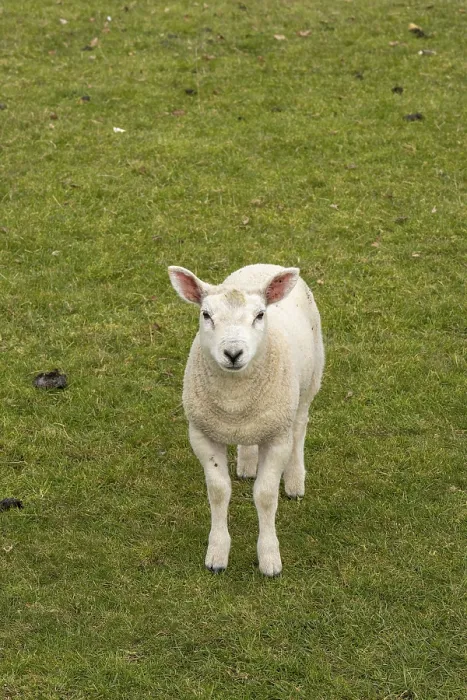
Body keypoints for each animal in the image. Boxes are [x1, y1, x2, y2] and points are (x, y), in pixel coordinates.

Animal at [168, 264, 325, 576]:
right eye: (206, 314)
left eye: (260, 315)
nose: (233, 353)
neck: (235, 401)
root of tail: (264, 265)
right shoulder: (202, 435)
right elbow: (218, 492)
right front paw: (217, 554)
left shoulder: (277, 438)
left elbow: (264, 496)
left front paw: (269, 558)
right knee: (250, 440)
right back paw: (247, 464)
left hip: (309, 382)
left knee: (300, 427)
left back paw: (294, 481)